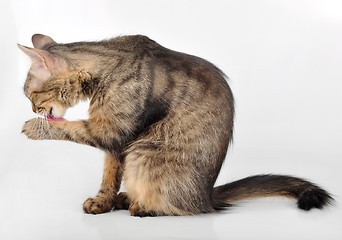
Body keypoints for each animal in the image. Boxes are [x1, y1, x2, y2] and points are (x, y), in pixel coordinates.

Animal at [18, 34, 332, 218]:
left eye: (32, 95)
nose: (33, 109)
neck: (106, 67)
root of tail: (207, 195)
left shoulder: (112, 131)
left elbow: (70, 128)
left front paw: (34, 127)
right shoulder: (117, 143)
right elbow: (109, 176)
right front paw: (103, 201)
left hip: (144, 152)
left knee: (181, 208)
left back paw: (142, 206)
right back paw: (125, 198)